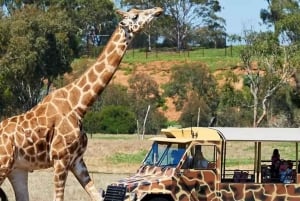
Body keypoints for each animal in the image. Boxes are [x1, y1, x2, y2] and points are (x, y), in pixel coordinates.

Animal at [0, 6, 163, 201]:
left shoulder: (77, 160)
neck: (79, 105)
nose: (158, 10)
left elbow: (96, 195)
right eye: (135, 16)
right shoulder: (60, 158)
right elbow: (59, 198)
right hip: (3, 165)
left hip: (17, 169)